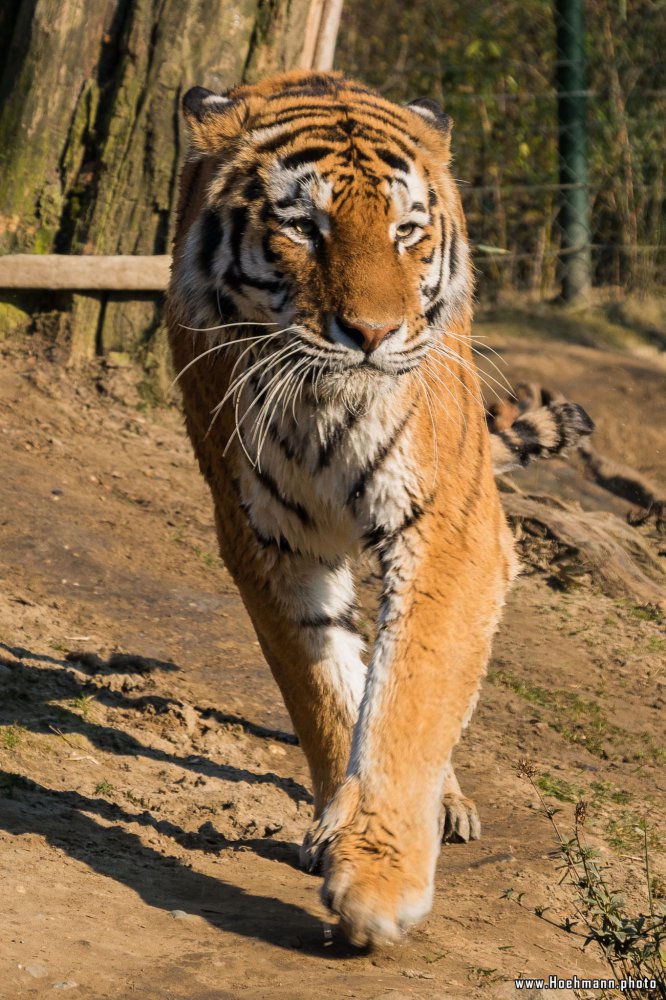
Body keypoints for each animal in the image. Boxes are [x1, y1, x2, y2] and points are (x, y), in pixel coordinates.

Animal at [166, 70, 592, 944]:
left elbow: (410, 697)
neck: (322, 411)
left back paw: (445, 807)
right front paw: (342, 838)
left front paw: (380, 879)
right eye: (304, 227)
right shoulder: (266, 541)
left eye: (406, 232)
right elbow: (327, 691)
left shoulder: (452, 531)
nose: (373, 332)